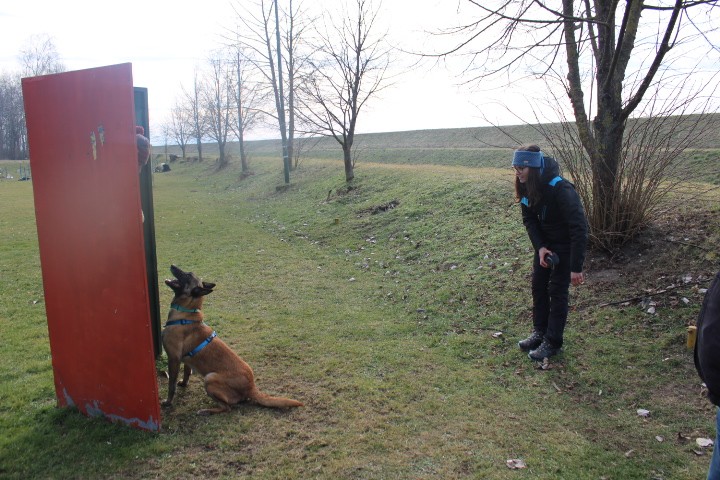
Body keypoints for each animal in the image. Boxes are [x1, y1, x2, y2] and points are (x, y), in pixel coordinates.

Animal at [162, 264, 302, 414]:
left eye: (187, 275)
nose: (172, 265)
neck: (185, 314)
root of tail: (251, 387)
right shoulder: (186, 360)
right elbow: (187, 373)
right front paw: (183, 384)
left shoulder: (173, 359)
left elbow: (171, 386)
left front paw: (168, 402)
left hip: (209, 378)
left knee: (227, 407)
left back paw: (206, 410)